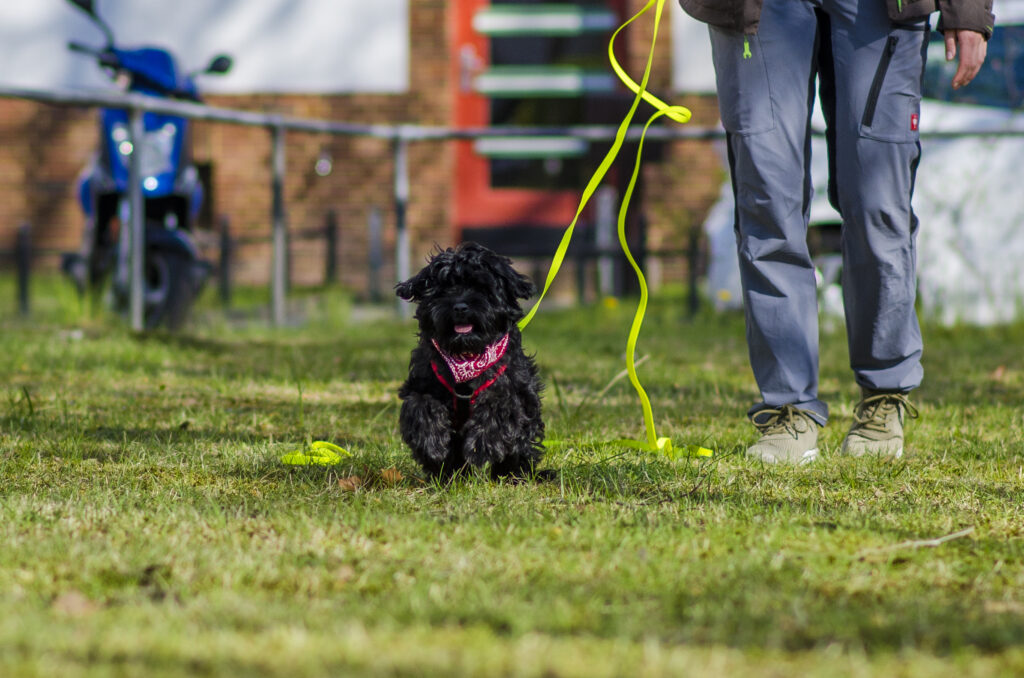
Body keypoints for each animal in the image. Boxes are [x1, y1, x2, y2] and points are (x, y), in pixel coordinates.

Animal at [397, 241, 544, 481]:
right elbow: (421, 405)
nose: (460, 307)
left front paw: (482, 446)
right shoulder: (422, 384)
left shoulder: (512, 389)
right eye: (444, 288)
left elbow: (499, 405)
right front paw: (431, 444)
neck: (466, 356)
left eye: (481, 288)